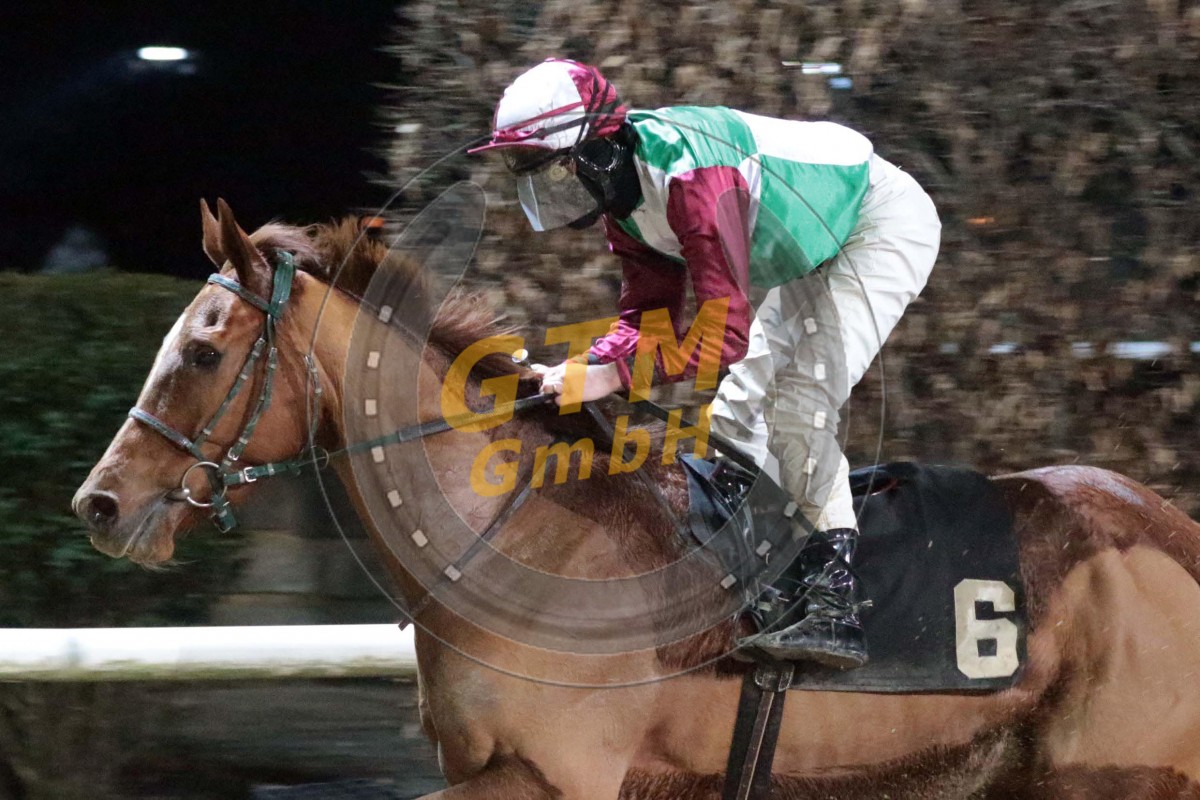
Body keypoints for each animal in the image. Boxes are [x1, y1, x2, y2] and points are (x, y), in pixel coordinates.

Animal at [74, 199, 1200, 799]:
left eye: (203, 351)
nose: (101, 503)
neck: (514, 539)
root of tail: (1170, 531)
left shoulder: (556, 776)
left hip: (1114, 771)